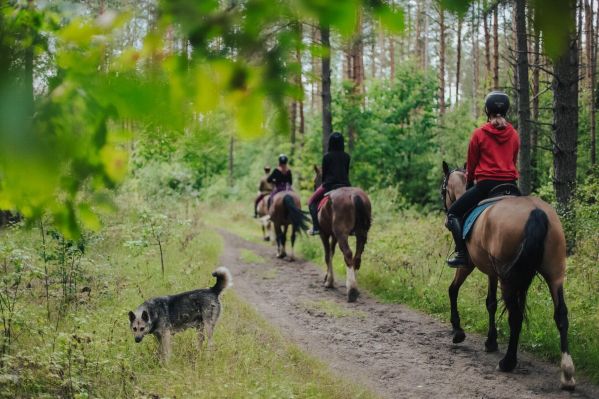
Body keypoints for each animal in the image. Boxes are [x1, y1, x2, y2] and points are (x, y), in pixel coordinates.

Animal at [314, 166, 370, 304]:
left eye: (315, 180)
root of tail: (354, 196)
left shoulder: (324, 234)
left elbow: (327, 255)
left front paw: (329, 281)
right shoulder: (334, 236)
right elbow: (331, 253)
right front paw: (328, 278)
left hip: (342, 235)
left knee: (348, 254)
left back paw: (352, 290)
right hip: (361, 234)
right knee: (357, 257)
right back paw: (354, 286)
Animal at [440, 162, 576, 390]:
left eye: (443, 189)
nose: (445, 210)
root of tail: (536, 212)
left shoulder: (470, 264)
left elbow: (454, 290)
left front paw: (458, 331)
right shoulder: (492, 272)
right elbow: (491, 303)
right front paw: (491, 341)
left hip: (508, 277)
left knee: (515, 316)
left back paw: (508, 362)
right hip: (554, 274)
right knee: (561, 316)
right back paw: (567, 373)